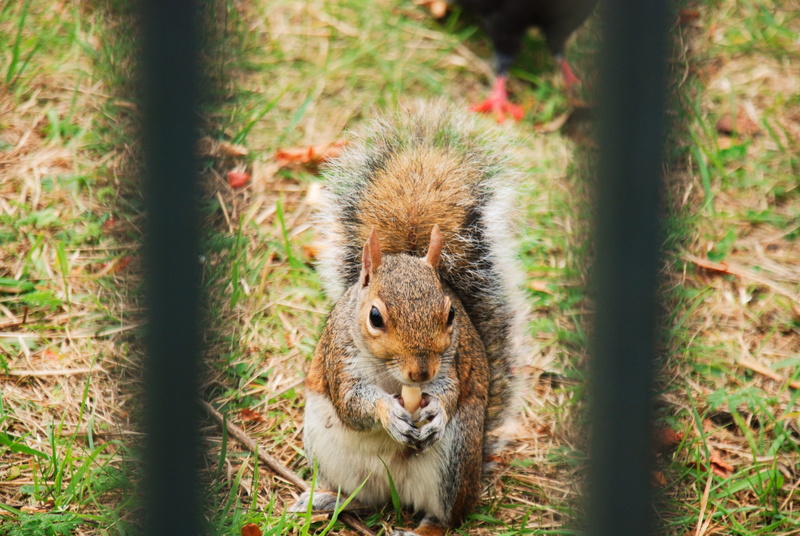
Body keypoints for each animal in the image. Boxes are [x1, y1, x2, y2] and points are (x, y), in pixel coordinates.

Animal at [289, 102, 528, 536]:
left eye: (450, 313)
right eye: (375, 317)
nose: (420, 373)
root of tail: (395, 492)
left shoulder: (453, 359)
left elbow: (450, 389)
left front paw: (435, 411)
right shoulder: (340, 358)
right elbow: (353, 402)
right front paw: (388, 412)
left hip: (453, 461)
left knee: (446, 519)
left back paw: (422, 527)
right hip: (331, 453)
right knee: (361, 499)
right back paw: (326, 499)